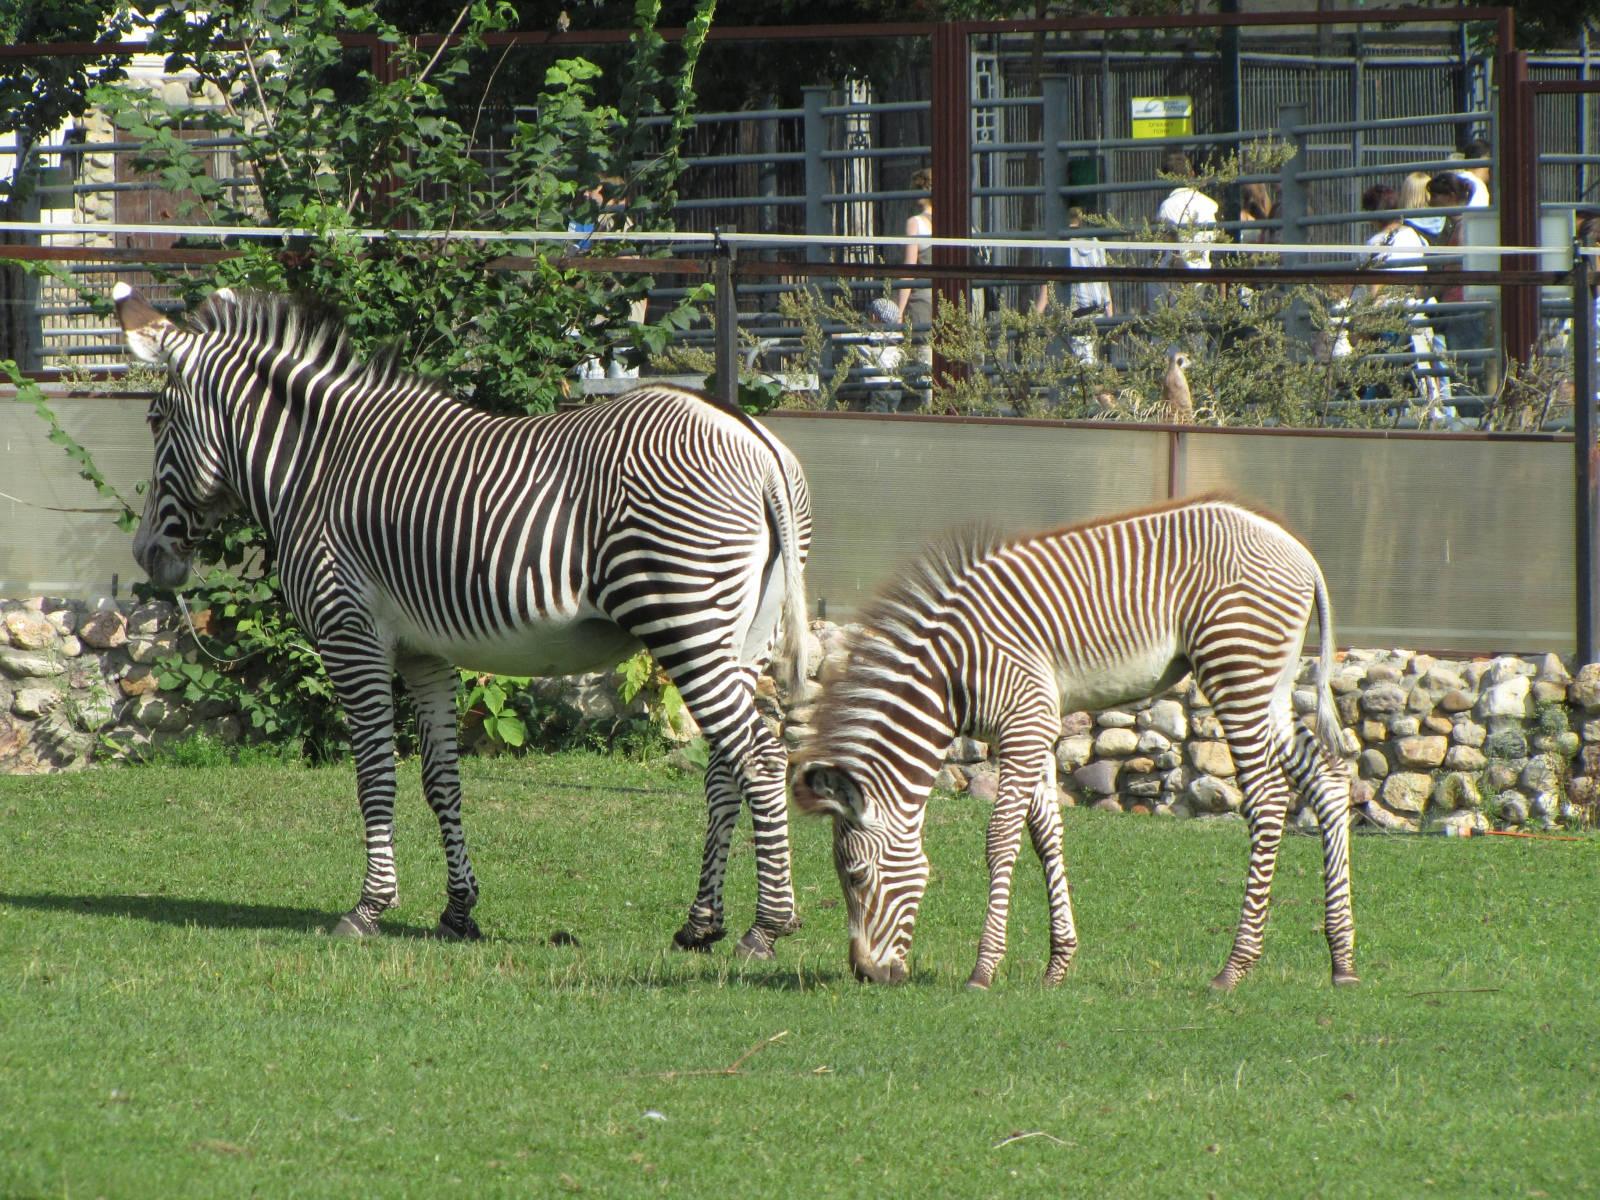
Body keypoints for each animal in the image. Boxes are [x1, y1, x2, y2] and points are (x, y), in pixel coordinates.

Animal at [114, 281, 812, 960]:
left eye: (155, 420)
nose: (146, 555)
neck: (316, 468)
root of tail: (755, 443)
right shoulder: (427, 655)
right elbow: (440, 780)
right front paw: (458, 911)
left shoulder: (350, 635)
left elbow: (375, 774)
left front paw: (369, 909)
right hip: (740, 634)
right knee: (727, 762)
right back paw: (701, 925)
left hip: (681, 615)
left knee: (761, 756)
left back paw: (766, 928)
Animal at [793, 492, 1356, 992]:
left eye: (856, 878)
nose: (865, 975)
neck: (949, 674)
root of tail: (1301, 553)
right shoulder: (1033, 728)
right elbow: (1046, 834)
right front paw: (1057, 965)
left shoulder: (1023, 726)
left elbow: (1001, 837)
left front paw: (983, 970)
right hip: (1270, 688)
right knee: (1328, 782)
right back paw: (1342, 960)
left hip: (1237, 673)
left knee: (1269, 801)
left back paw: (1235, 968)